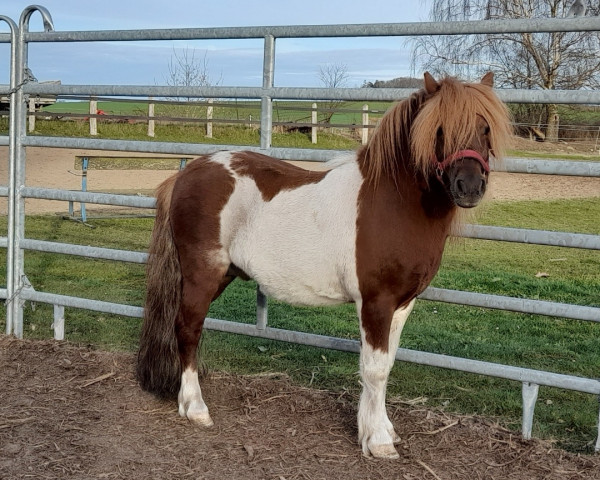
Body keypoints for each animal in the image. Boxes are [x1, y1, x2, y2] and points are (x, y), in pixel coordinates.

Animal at [138, 71, 512, 458]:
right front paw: (378, 442)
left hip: (221, 275)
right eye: (439, 130)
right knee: (187, 329)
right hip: (203, 274)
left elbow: (387, 364)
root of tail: (187, 173)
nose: (469, 186)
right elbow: (374, 368)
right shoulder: (376, 302)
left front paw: (380, 429)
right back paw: (195, 408)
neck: (392, 203)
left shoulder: (403, 304)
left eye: (485, 128)